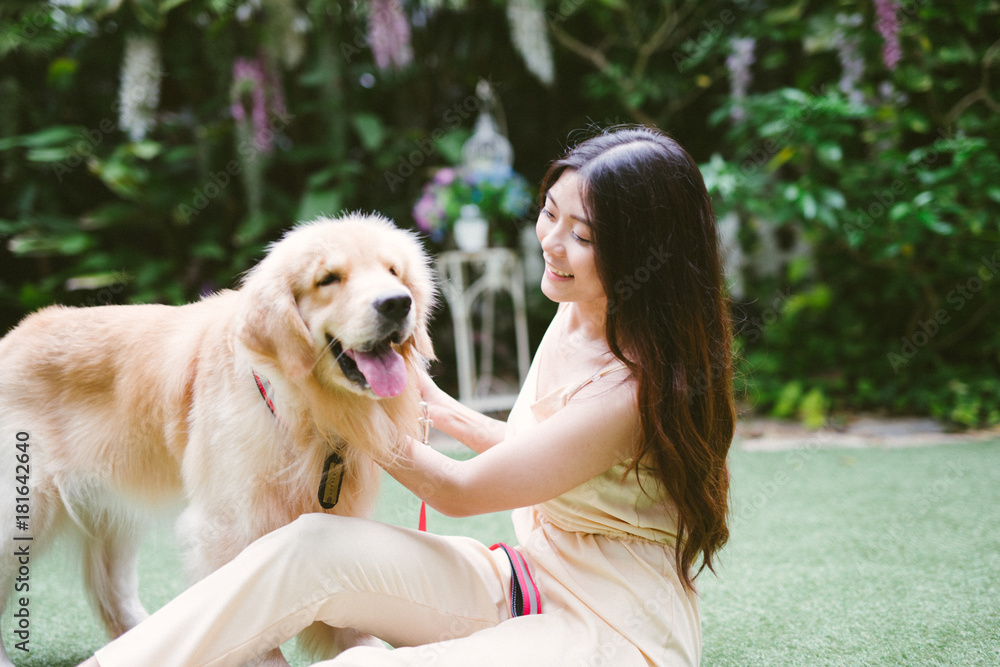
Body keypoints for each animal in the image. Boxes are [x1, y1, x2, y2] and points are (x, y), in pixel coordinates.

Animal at [0, 213, 438, 664]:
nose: (397, 303)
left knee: (113, 593)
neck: (305, 411)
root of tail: (14, 337)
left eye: (393, 271)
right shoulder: (226, 527)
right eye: (328, 279)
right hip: (20, 511)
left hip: (111, 511)